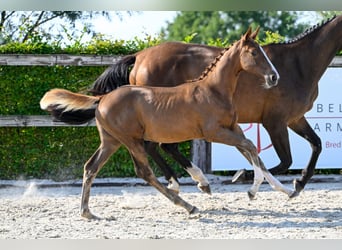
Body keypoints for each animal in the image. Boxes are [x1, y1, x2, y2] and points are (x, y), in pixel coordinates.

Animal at [41, 27, 296, 219]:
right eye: (253, 53)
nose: (274, 77)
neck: (213, 90)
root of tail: (102, 98)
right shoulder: (214, 132)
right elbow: (251, 147)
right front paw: (253, 189)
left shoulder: (233, 128)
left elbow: (251, 152)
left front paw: (284, 190)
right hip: (131, 140)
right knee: (144, 171)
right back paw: (188, 204)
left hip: (111, 141)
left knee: (91, 167)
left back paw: (87, 212)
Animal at [90, 15, 342, 195]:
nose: (273, 78)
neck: (298, 64)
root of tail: (140, 56)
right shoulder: (275, 121)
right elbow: (284, 160)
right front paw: (245, 175)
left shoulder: (295, 119)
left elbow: (316, 144)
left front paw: (299, 183)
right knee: (159, 146)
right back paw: (190, 181)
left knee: (160, 146)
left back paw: (189, 181)